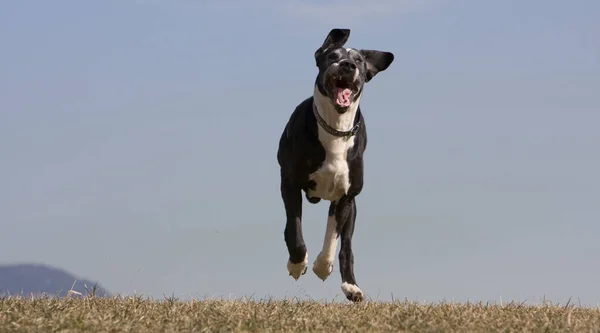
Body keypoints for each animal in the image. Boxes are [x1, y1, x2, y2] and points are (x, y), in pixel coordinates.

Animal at [276, 29, 394, 302]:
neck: (335, 129)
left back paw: (352, 287)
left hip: (353, 210)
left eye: (359, 61)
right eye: (332, 56)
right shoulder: (290, 183)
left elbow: (333, 237)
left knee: (346, 247)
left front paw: (322, 266)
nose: (348, 65)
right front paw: (298, 264)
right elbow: (294, 230)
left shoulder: (345, 197)